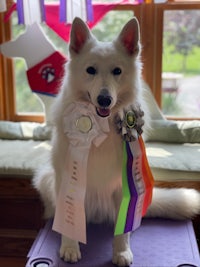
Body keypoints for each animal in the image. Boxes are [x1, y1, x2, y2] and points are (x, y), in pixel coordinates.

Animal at [33, 17, 199, 266]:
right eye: (90, 70)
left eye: (117, 71)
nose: (104, 99)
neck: (99, 128)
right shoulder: (65, 178)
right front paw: (70, 246)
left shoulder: (125, 185)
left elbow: (123, 230)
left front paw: (121, 251)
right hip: (46, 178)